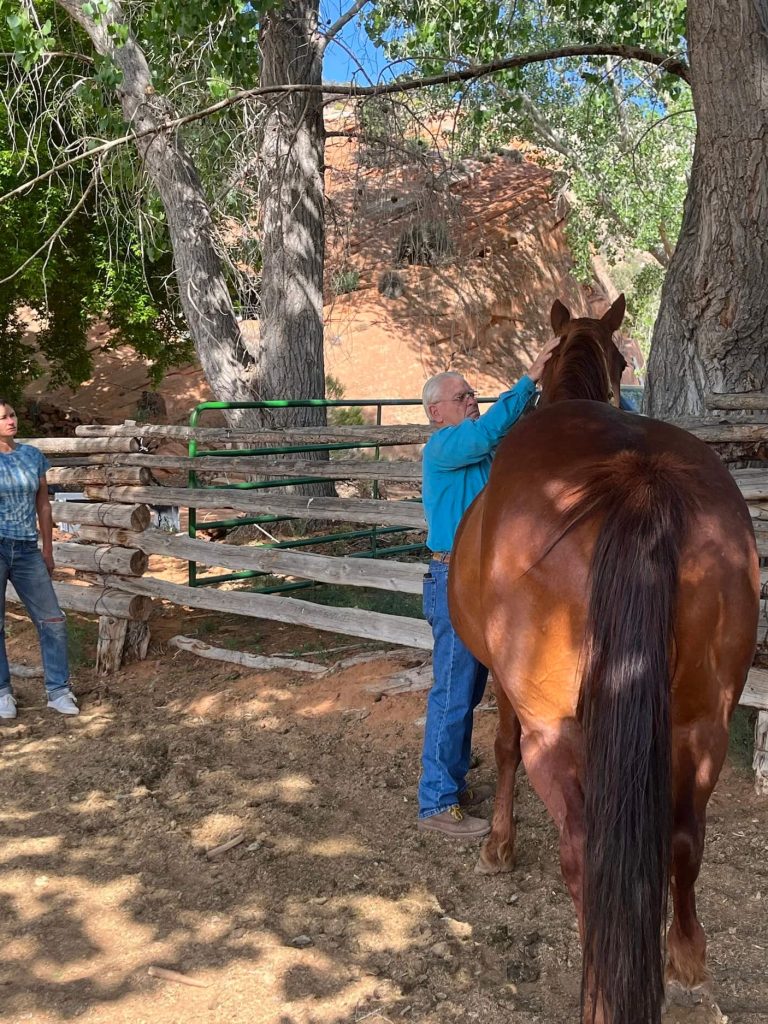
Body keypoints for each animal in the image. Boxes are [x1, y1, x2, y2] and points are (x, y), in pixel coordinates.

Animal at [449, 296, 759, 1024]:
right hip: (700, 723)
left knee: (584, 852)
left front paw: (498, 847)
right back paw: (687, 965)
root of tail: (635, 476)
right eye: (622, 361)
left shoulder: (511, 695)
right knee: (684, 838)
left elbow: (501, 748)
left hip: (557, 733)